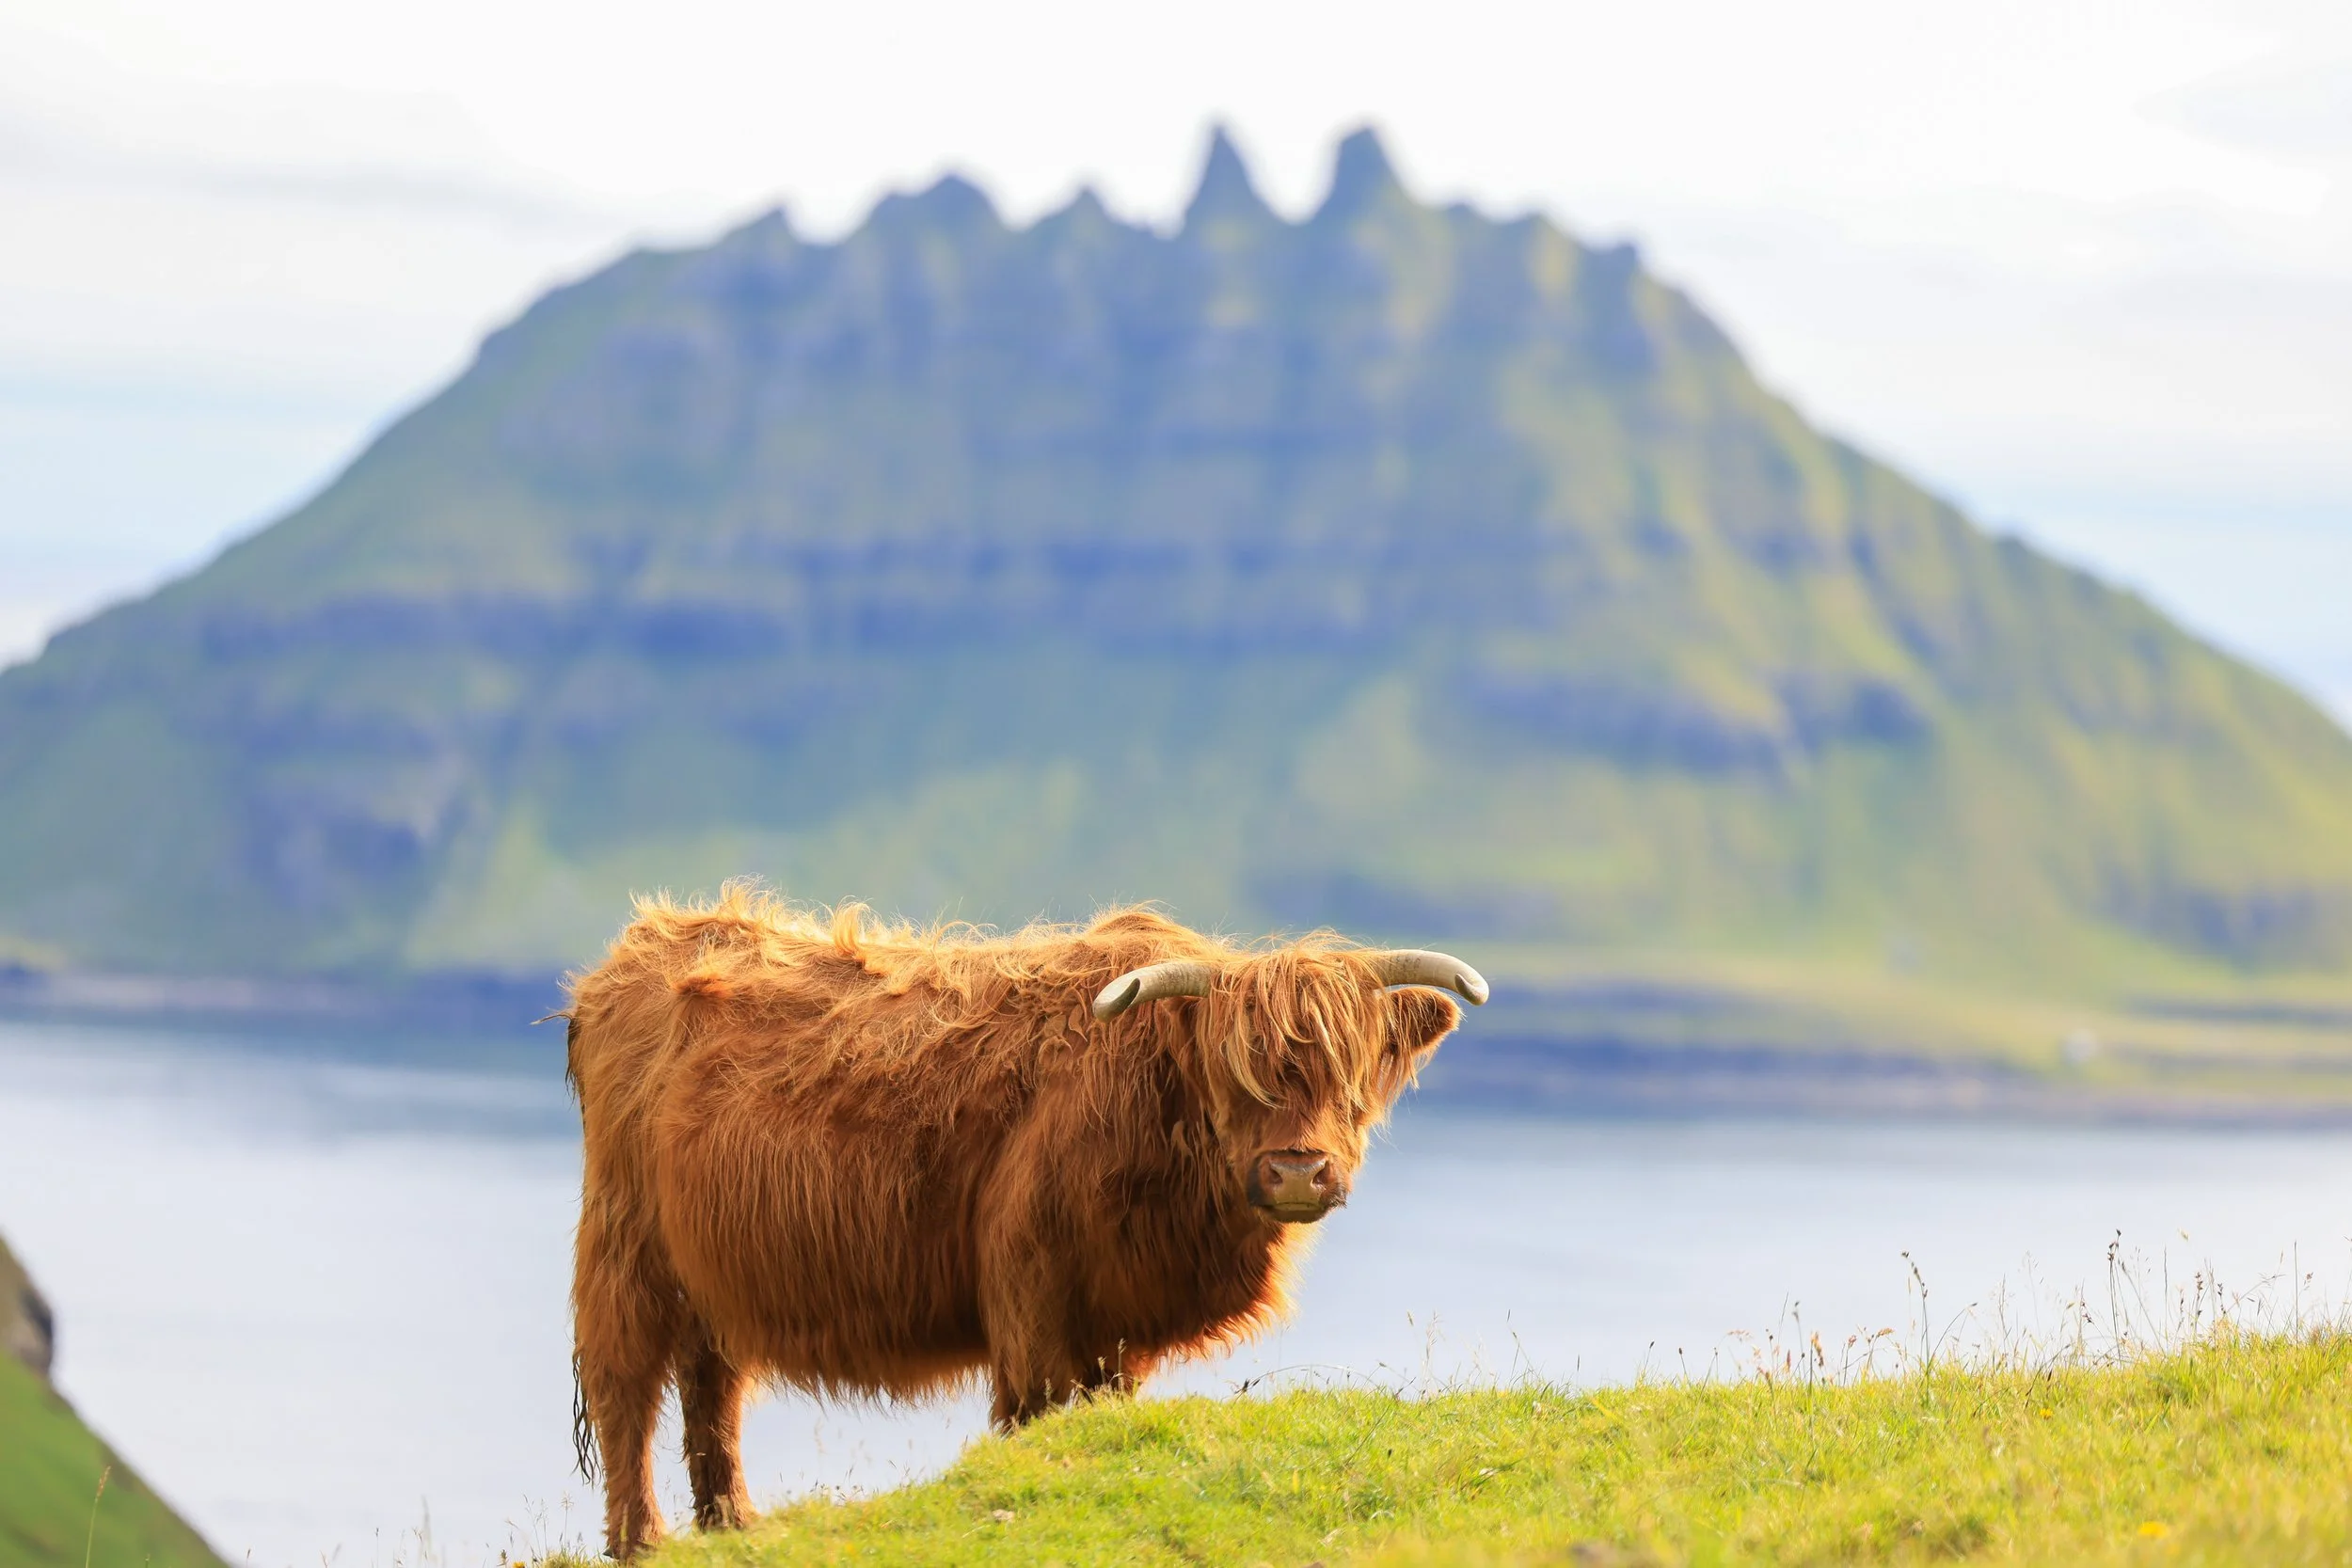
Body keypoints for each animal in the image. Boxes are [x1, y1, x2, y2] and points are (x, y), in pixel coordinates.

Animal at [562, 885, 1486, 1558]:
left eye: (1352, 1073)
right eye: (1236, 1072)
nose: (1297, 1169)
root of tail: (641, 945)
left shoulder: (1118, 1320)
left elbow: (1101, 1406)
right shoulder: (1030, 1286)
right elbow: (1035, 1411)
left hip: (710, 1268)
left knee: (711, 1383)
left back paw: (732, 1523)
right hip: (624, 1243)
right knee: (625, 1386)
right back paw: (640, 1539)